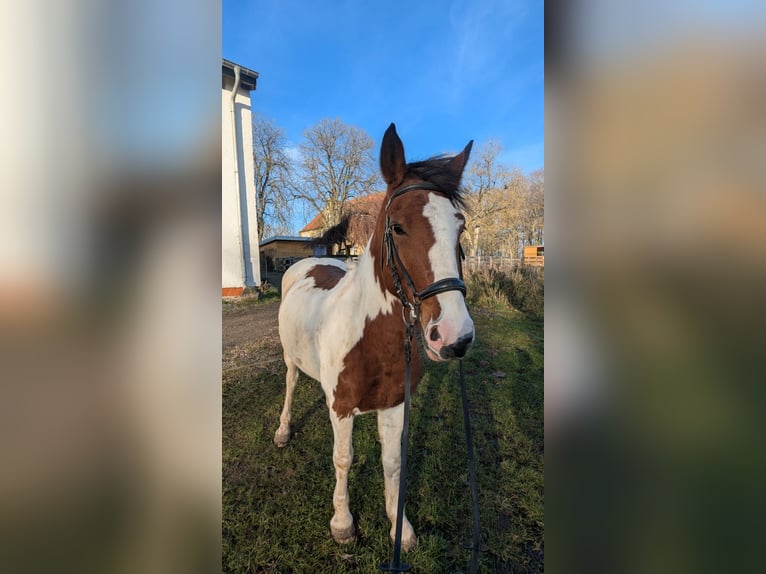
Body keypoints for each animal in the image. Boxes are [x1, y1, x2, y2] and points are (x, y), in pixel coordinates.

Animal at [275, 123, 474, 552]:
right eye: (397, 226)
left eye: (461, 226)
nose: (455, 336)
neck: (371, 341)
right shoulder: (341, 408)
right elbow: (343, 459)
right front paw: (342, 523)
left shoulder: (395, 405)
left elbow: (393, 462)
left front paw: (401, 528)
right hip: (289, 359)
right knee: (291, 383)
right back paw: (282, 431)